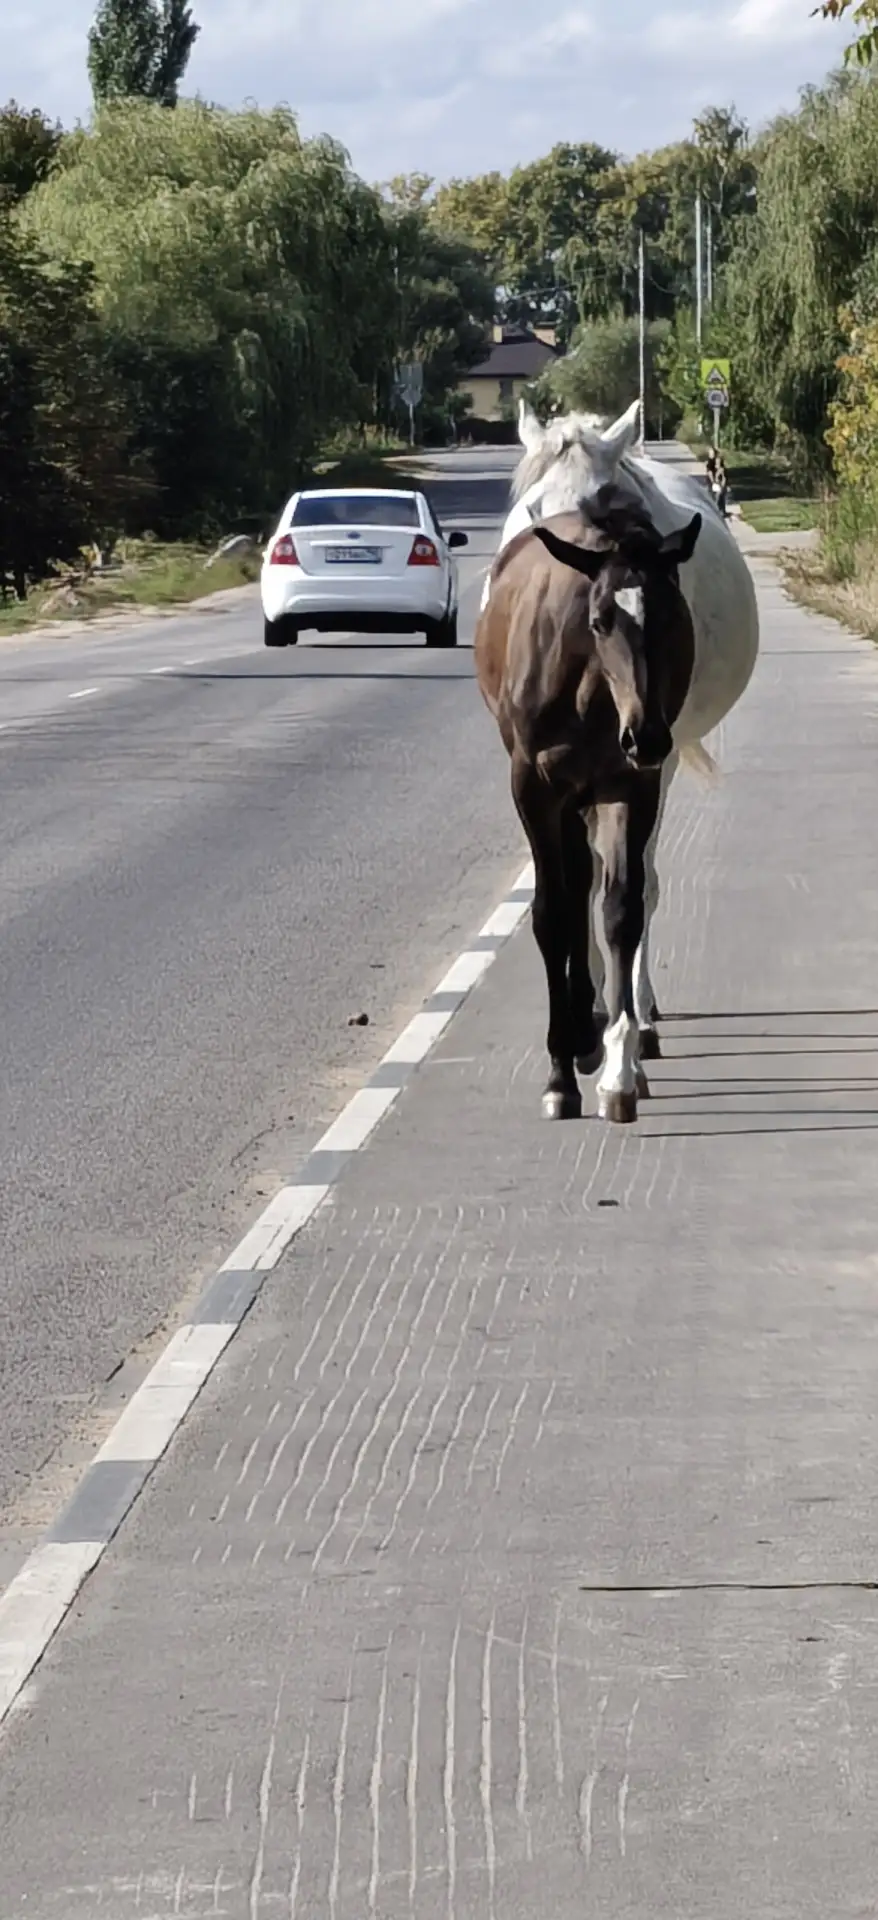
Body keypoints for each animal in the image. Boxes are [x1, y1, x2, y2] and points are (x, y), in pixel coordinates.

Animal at [474, 492, 702, 1123]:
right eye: (600, 621)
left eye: (672, 617)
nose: (646, 736)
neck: (589, 691)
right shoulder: (533, 788)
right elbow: (552, 915)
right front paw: (558, 1075)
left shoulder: (628, 785)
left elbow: (621, 909)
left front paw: (620, 1071)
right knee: (570, 890)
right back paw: (574, 1038)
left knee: (585, 886)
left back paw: (589, 1038)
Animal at [482, 398, 759, 1059]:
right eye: (533, 509)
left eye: (603, 504)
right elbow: (576, 888)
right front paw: (584, 1014)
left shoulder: (650, 763)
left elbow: (634, 884)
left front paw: (629, 1020)